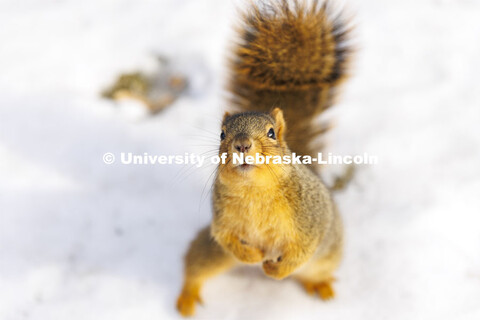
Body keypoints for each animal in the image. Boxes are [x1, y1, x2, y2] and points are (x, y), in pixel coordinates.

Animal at [176, 0, 352, 316]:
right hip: (212, 254)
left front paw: (273, 270)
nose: (242, 145)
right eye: (221, 134)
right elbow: (227, 238)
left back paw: (320, 286)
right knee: (195, 264)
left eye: (271, 133)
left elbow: (302, 250)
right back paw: (187, 296)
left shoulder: (310, 220)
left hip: (327, 257)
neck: (254, 189)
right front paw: (254, 255)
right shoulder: (222, 222)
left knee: (313, 270)